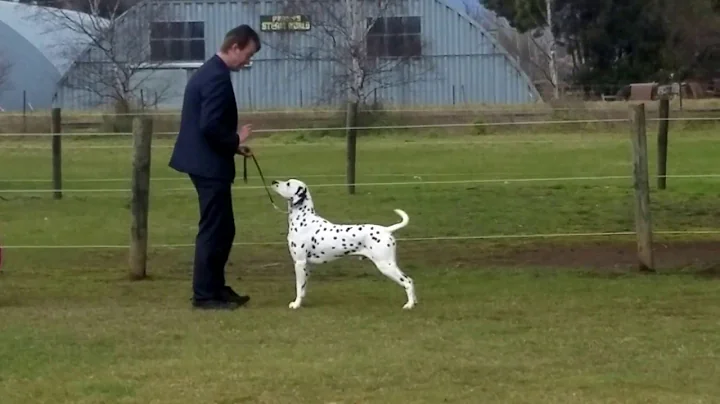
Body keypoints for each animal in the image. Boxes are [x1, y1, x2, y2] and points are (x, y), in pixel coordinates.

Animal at [268, 178, 416, 310]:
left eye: (288, 183)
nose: (273, 181)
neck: (304, 219)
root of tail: (386, 230)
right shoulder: (306, 265)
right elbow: (303, 288)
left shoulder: (299, 262)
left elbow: (299, 287)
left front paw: (296, 304)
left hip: (386, 265)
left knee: (408, 281)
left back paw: (409, 305)